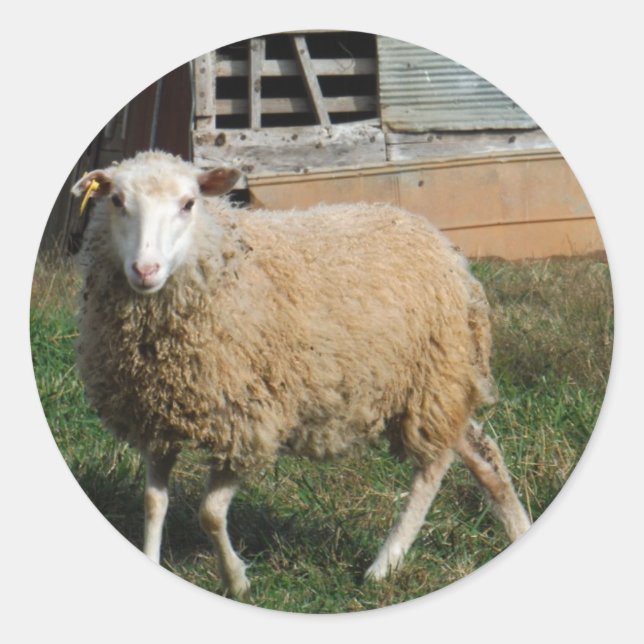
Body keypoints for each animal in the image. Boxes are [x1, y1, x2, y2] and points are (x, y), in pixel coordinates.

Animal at [71, 150, 530, 599]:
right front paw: (153, 560)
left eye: (188, 204)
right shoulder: (157, 418)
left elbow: (210, 514)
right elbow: (153, 503)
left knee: (433, 467)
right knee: (481, 451)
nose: (145, 270)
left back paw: (384, 564)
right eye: (117, 201)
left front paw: (237, 580)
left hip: (431, 379)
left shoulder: (249, 422)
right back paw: (517, 526)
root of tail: (442, 244)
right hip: (437, 383)